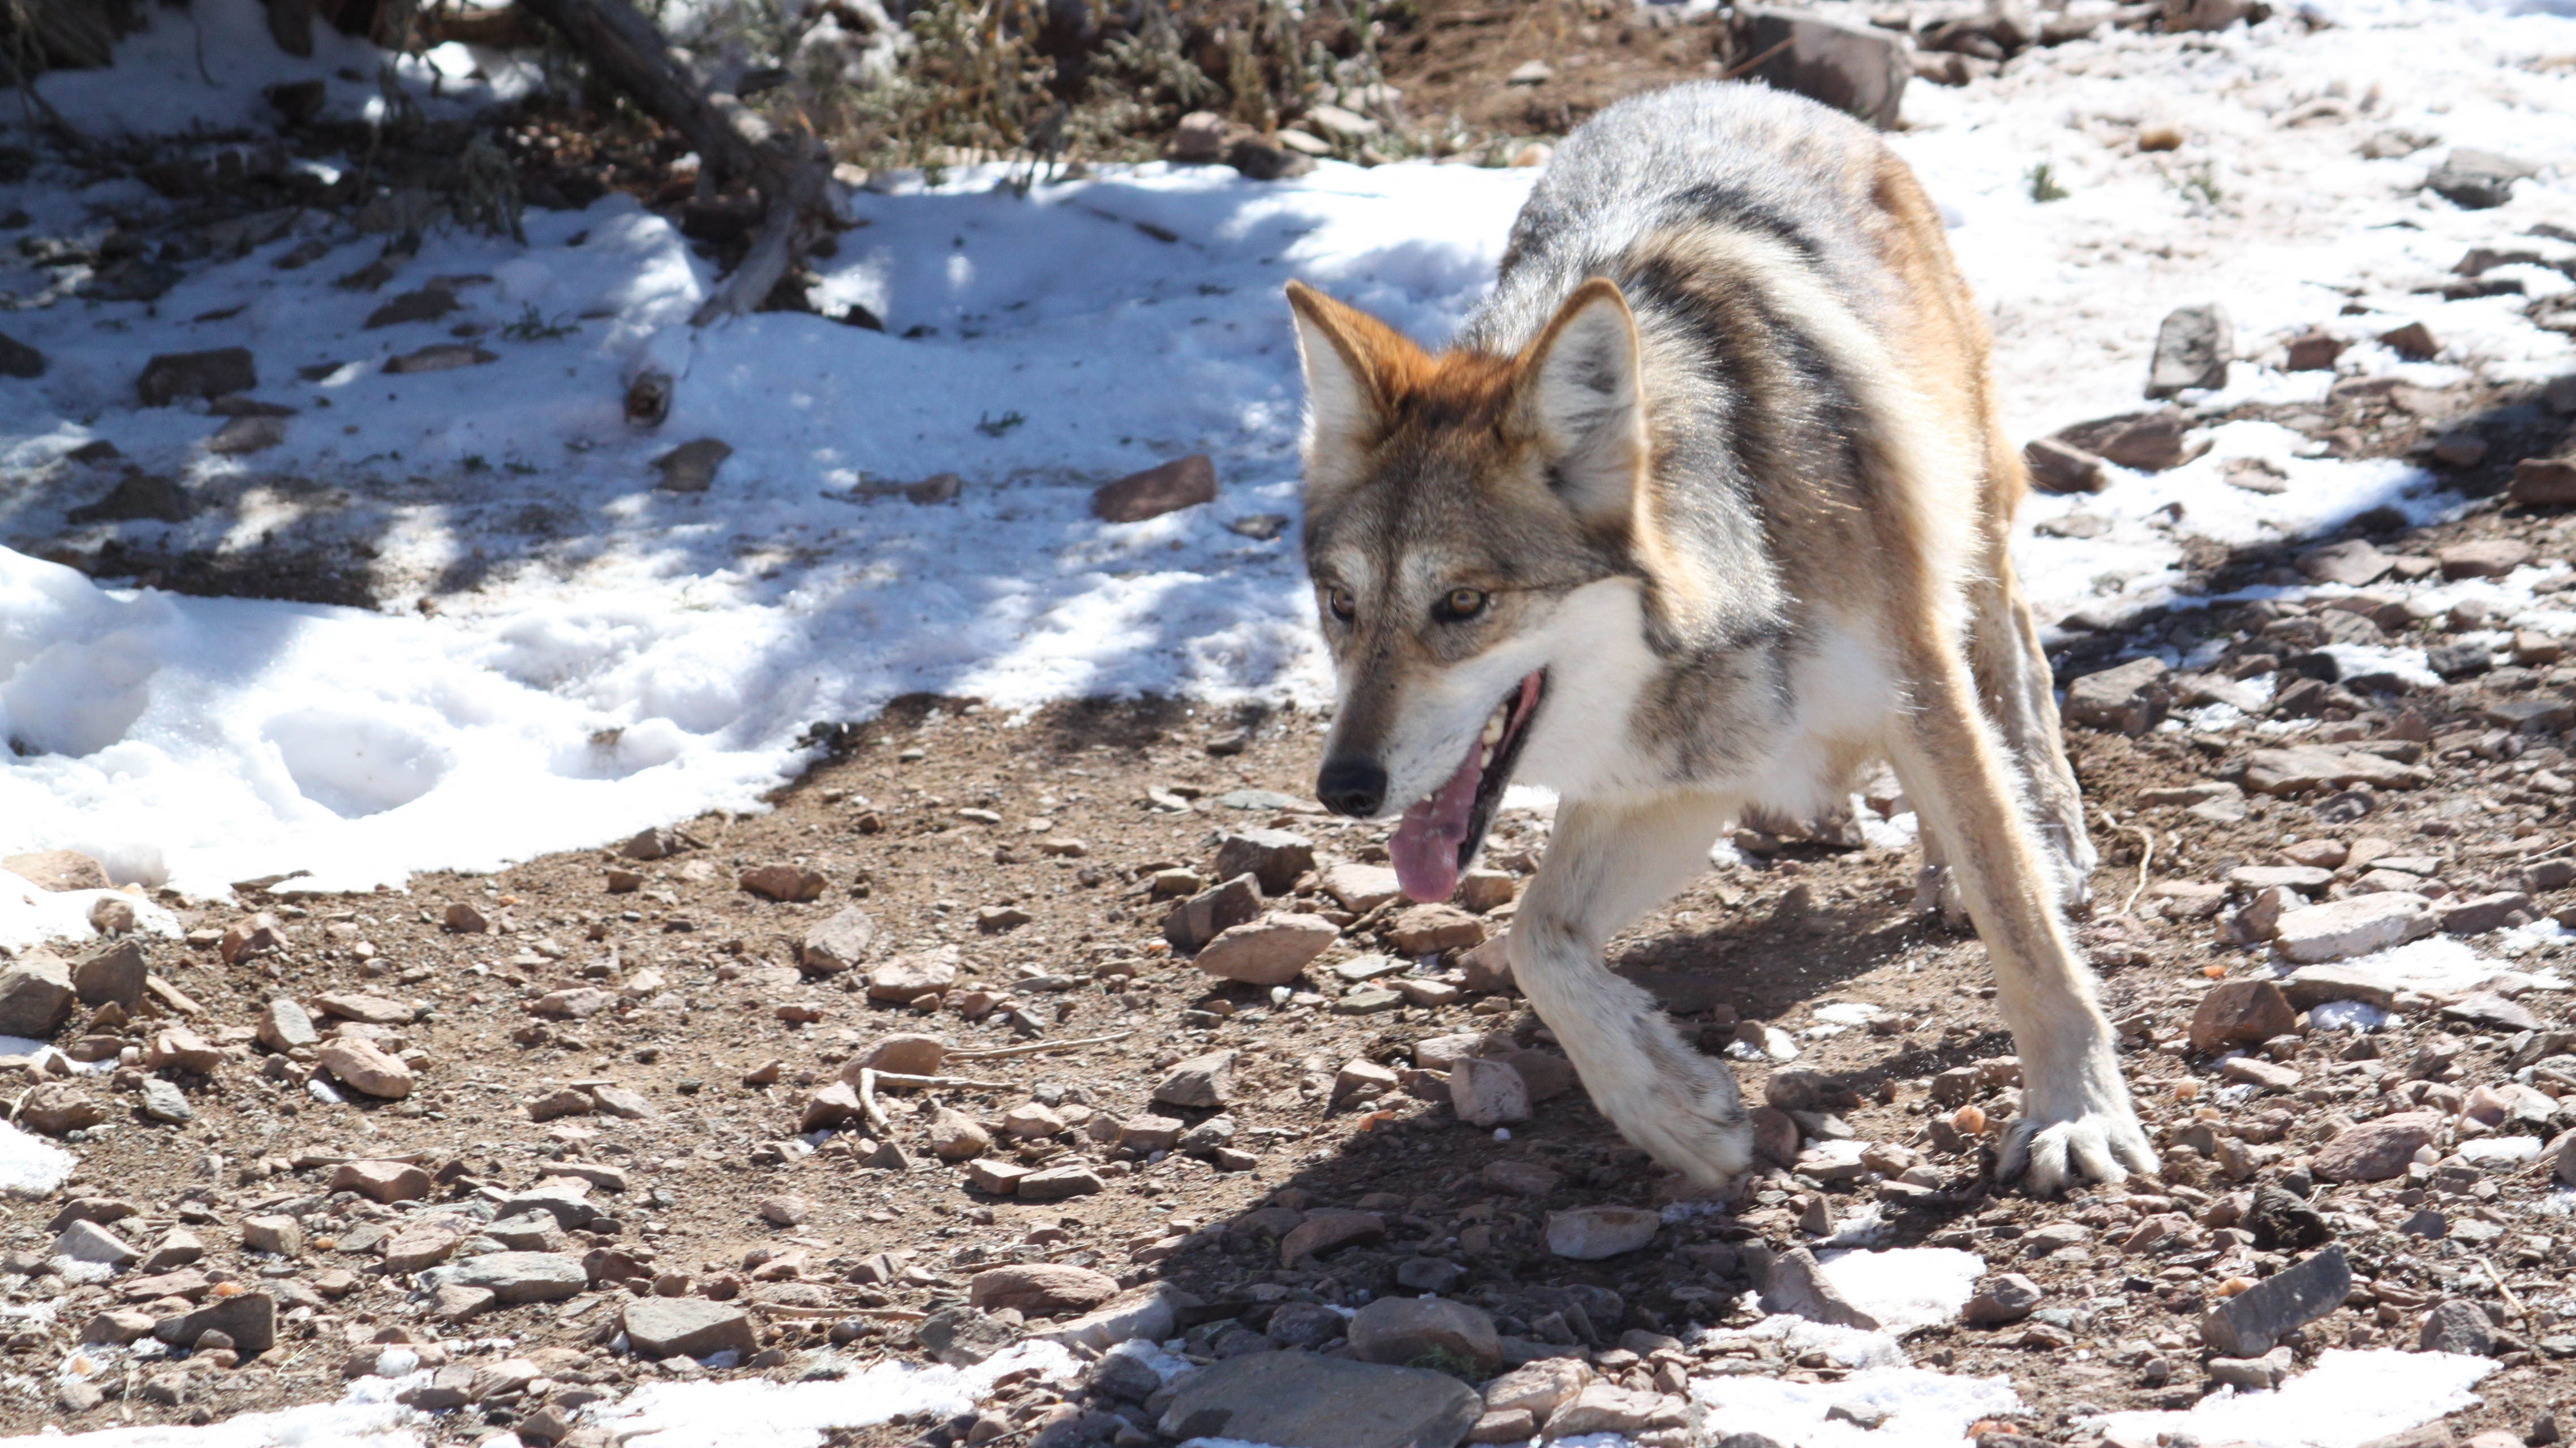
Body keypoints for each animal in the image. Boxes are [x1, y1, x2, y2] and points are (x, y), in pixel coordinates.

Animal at [1283, 79, 2153, 1190]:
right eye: (1342, 604)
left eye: (1465, 604)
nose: (1342, 786)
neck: (1748, 551)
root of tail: (1729, 87)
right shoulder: (1686, 770)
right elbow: (1534, 939)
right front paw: (1672, 1106)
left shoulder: (1912, 682)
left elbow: (2024, 928)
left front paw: (2073, 1113)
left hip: (1965, 509)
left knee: (2011, 653)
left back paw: (2046, 829)